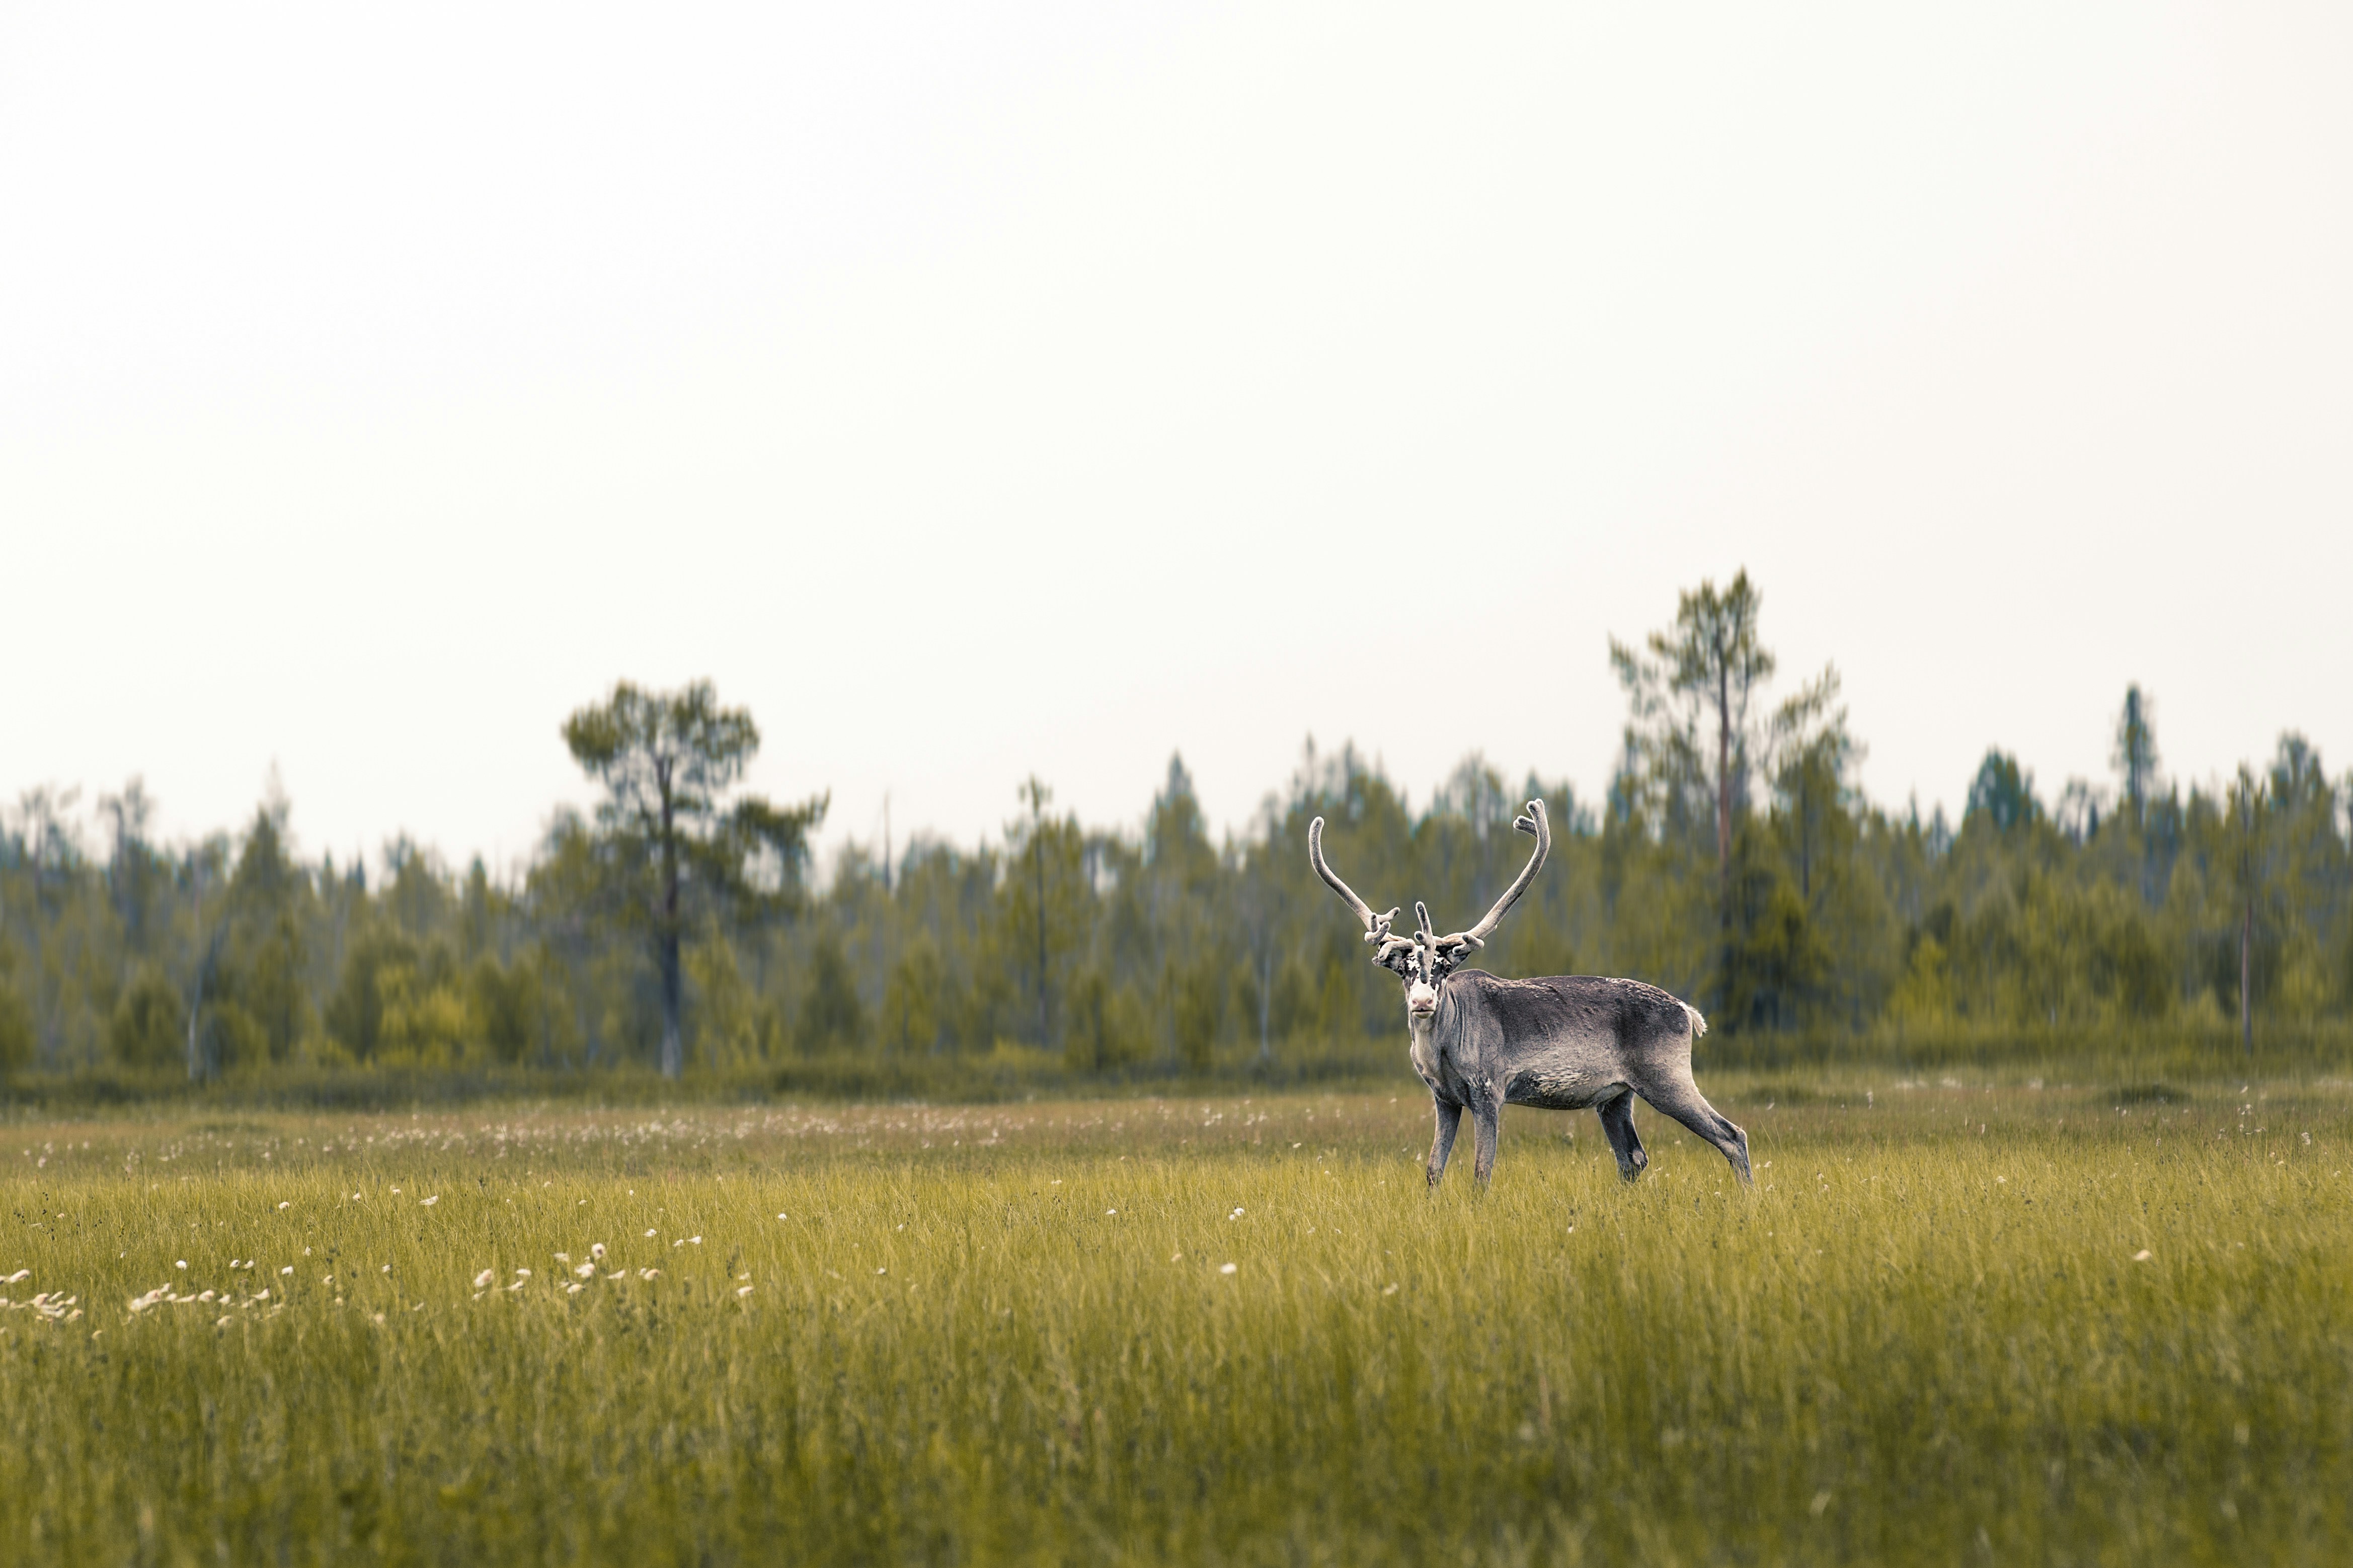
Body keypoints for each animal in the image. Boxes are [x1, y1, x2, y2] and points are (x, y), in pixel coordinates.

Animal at [1310, 799, 1752, 1189]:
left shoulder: (1489, 1091)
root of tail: (1687, 1012)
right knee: (1634, 1158)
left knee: (1732, 1134)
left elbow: (1481, 1172)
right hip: (1616, 1097)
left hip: (1666, 1077)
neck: (1439, 1049)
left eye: (1443, 969)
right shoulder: (1444, 1098)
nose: (1423, 1002)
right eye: (1403, 970)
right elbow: (1434, 1170)